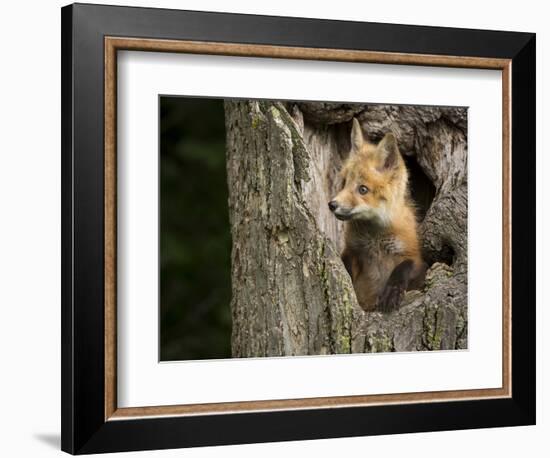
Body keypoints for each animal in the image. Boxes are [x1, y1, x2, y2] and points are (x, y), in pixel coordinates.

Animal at [330, 118, 430, 314]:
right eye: (344, 182)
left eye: (363, 189)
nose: (332, 205)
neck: (375, 240)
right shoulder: (352, 252)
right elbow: (347, 268)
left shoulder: (415, 256)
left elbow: (404, 267)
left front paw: (392, 292)